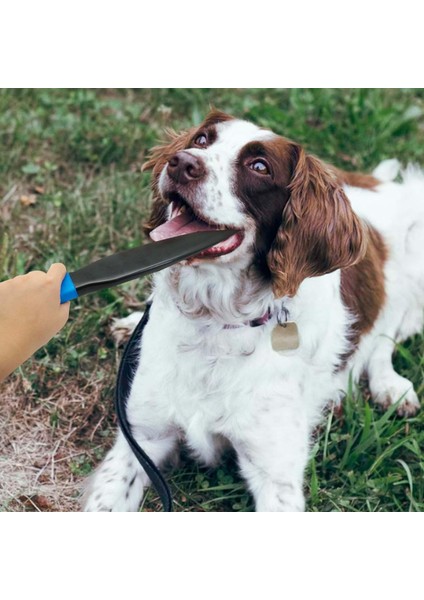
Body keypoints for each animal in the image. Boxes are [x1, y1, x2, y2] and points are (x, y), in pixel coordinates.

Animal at [83, 109, 424, 510]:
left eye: (259, 166)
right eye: (201, 140)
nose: (181, 163)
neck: (215, 322)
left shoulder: (275, 475)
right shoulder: (141, 438)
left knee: (384, 338)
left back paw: (392, 387)